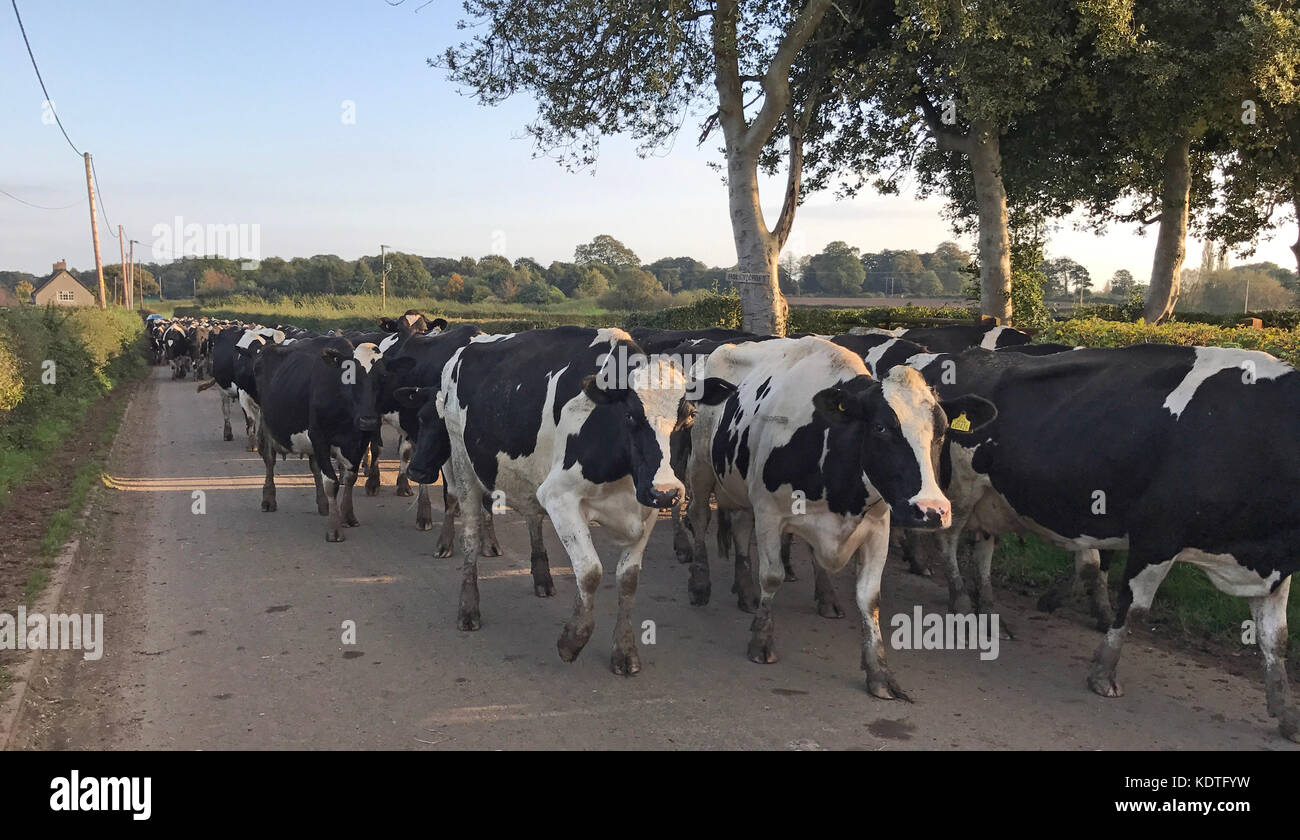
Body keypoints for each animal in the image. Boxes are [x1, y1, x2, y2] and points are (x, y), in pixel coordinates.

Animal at [405, 326, 691, 676]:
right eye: (631, 416)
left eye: (687, 418)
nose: (667, 492)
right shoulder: (560, 497)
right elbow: (590, 571)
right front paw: (572, 640)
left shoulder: (645, 507)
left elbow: (628, 580)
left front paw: (624, 651)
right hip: (463, 464)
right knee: (470, 535)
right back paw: (468, 608)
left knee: (531, 517)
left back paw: (542, 576)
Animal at [681, 335, 993, 696]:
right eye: (881, 427)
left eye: (941, 431)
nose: (932, 511)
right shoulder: (770, 511)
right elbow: (772, 576)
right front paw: (761, 640)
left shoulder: (878, 527)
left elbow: (869, 597)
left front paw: (879, 671)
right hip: (701, 466)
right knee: (699, 518)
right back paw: (700, 585)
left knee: (742, 528)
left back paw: (756, 592)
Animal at [883, 345, 1300, 738]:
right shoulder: (1156, 534)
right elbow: (1131, 606)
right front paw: (1103, 672)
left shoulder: (1273, 566)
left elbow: (1275, 639)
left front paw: (1286, 714)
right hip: (961, 488)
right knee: (949, 540)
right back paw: (962, 599)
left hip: (993, 496)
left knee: (983, 546)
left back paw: (989, 610)